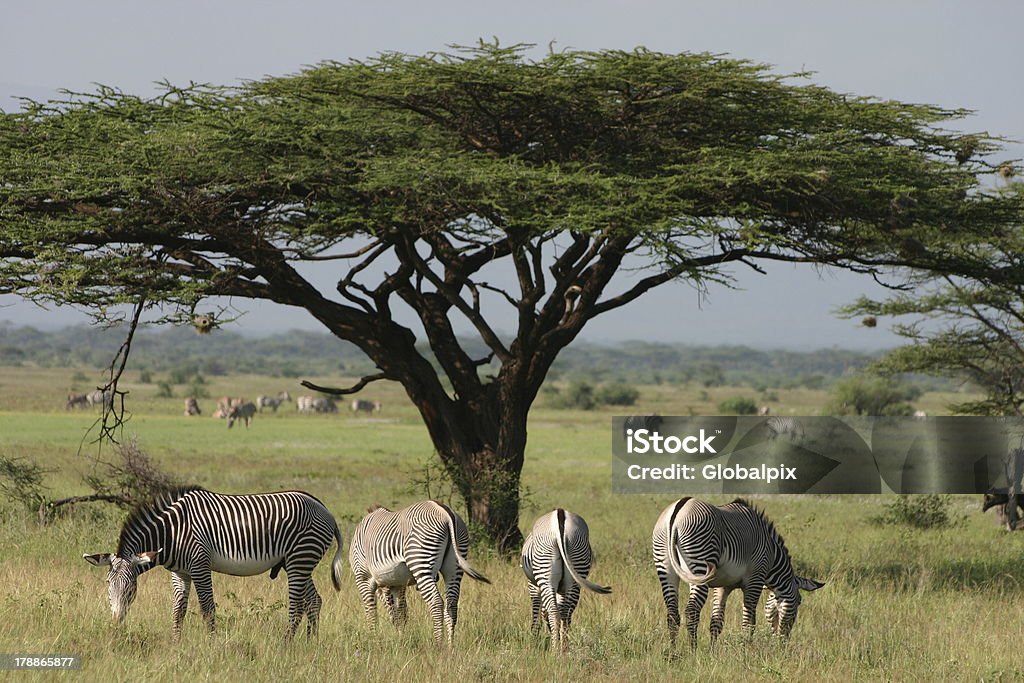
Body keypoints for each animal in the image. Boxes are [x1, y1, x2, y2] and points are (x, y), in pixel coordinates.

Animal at [82, 485, 344, 643]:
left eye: (131, 587)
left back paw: (286, 644)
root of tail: (326, 509)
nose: (116, 622)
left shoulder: (200, 565)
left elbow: (207, 609)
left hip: (301, 558)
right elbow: (178, 610)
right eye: (107, 585)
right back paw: (310, 643)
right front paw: (176, 644)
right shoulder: (181, 572)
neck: (171, 534)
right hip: (297, 562)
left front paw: (212, 645)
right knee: (314, 601)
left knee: (297, 605)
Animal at [350, 499, 489, 651]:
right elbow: (401, 612)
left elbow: (372, 612)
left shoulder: (363, 578)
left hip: (421, 561)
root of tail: (445, 512)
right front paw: (401, 640)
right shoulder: (398, 583)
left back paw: (438, 646)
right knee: (452, 604)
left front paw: (374, 641)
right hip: (455, 565)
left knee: (436, 602)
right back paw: (450, 646)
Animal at [520, 509, 606, 655]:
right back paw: (564, 649)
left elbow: (537, 614)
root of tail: (560, 515)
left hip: (545, 573)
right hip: (576, 570)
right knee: (566, 613)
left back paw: (555, 651)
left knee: (554, 612)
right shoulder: (561, 589)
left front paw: (533, 641)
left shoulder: (533, 586)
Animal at [655, 497, 823, 651]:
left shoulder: (723, 586)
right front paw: (746, 650)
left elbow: (716, 621)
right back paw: (693, 650)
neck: (772, 557)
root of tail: (678, 511)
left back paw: (673, 652)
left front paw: (712, 652)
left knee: (672, 613)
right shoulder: (755, 580)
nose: (783, 645)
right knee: (691, 611)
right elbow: (749, 622)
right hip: (700, 564)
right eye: (799, 601)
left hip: (665, 566)